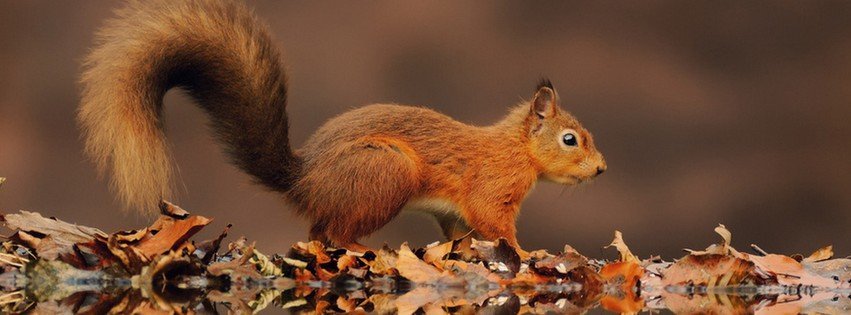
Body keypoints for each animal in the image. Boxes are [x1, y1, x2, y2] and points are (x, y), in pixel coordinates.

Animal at [78, 0, 604, 253]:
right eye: (570, 139)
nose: (601, 169)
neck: (516, 149)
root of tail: (305, 180)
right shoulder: (491, 190)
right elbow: (496, 225)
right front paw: (526, 254)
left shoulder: (457, 212)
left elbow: (463, 232)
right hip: (385, 173)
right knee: (335, 232)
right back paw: (365, 246)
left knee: (318, 231)